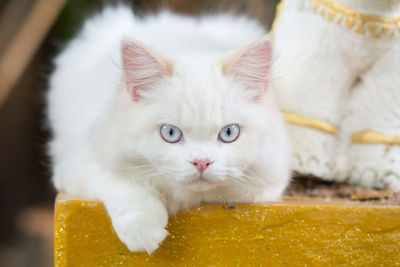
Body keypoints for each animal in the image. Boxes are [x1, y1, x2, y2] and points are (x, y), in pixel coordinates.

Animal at [47, 5, 290, 253]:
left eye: (229, 133)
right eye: (170, 133)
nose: (201, 162)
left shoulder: (267, 184)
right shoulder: (77, 162)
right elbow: (125, 185)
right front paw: (143, 231)